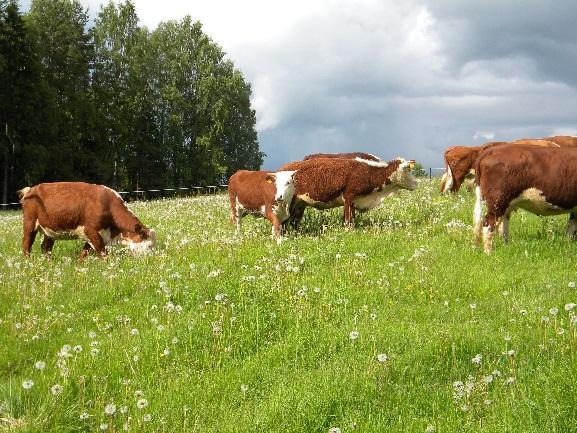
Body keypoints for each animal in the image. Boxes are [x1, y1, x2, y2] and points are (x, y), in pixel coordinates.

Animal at [19, 181, 155, 256]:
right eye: (149, 246)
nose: (153, 259)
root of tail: (31, 189)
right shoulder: (91, 231)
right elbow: (102, 253)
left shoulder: (95, 234)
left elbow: (84, 253)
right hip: (29, 224)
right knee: (27, 245)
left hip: (51, 230)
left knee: (46, 248)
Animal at [278, 156, 414, 230]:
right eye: (408, 170)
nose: (415, 183)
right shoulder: (349, 197)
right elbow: (348, 221)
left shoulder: (353, 201)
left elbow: (351, 218)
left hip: (299, 204)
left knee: (294, 221)